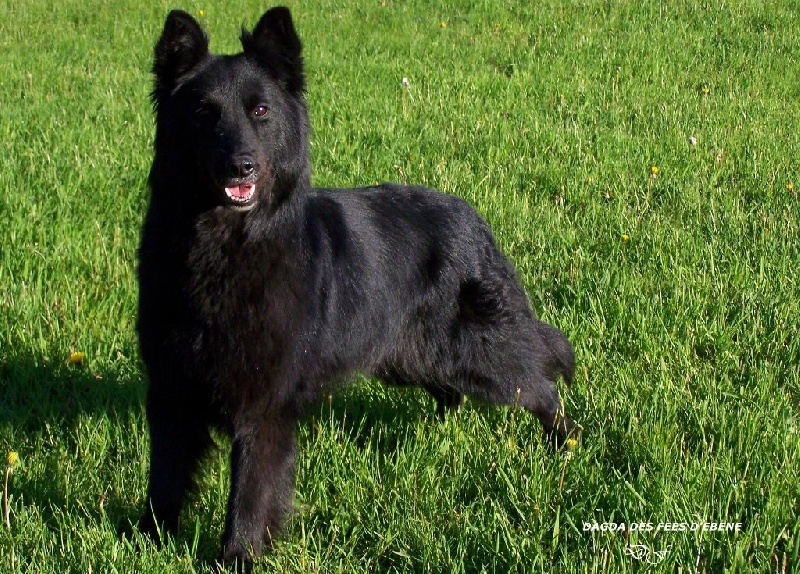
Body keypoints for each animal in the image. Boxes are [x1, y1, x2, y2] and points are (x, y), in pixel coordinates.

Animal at [137, 7, 579, 568]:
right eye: (203, 113)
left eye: (260, 111)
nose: (242, 166)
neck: (224, 246)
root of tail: (474, 220)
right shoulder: (171, 391)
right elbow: (165, 479)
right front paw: (145, 540)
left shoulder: (263, 409)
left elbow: (251, 494)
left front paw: (237, 556)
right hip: (414, 357)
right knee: (453, 392)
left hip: (475, 354)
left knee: (538, 382)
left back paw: (565, 443)